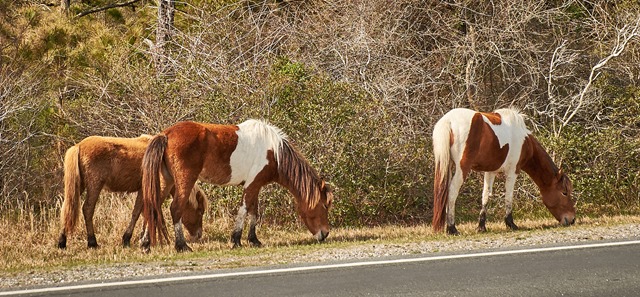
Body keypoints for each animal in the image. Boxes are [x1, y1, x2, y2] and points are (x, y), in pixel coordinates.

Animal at [57, 134, 208, 247]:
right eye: (200, 211)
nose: (199, 235)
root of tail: (78, 146)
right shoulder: (146, 190)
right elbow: (139, 213)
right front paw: (130, 238)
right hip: (94, 186)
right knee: (87, 209)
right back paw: (92, 242)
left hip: (80, 186)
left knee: (67, 207)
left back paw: (62, 241)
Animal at [141, 119, 336, 251]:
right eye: (324, 205)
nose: (325, 233)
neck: (274, 152)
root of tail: (166, 134)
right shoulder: (252, 185)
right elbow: (244, 210)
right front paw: (236, 240)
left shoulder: (256, 185)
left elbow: (254, 213)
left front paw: (254, 240)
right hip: (184, 180)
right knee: (175, 209)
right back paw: (181, 246)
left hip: (166, 181)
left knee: (153, 206)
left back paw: (145, 244)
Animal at [430, 107, 576, 235]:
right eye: (564, 192)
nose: (572, 219)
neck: (524, 141)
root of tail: (448, 120)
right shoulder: (513, 171)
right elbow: (509, 196)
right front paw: (511, 224)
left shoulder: (490, 171)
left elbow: (486, 196)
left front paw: (481, 227)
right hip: (462, 169)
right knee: (452, 193)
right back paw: (452, 228)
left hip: (447, 166)